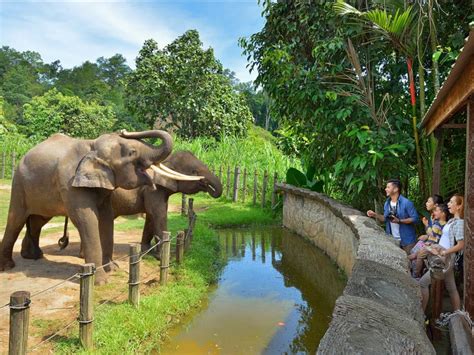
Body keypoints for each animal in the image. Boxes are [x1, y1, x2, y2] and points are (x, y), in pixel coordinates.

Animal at [0, 129, 174, 286]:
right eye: (132, 152)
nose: (123, 131)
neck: (92, 145)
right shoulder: (69, 183)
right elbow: (86, 219)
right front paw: (101, 282)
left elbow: (106, 217)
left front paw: (112, 268)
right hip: (19, 185)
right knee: (16, 220)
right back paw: (8, 266)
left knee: (38, 220)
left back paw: (34, 256)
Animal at [30, 152, 223, 258]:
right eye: (194, 172)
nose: (210, 186)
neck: (163, 163)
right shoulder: (152, 190)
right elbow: (158, 214)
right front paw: (160, 256)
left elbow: (152, 217)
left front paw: (147, 250)